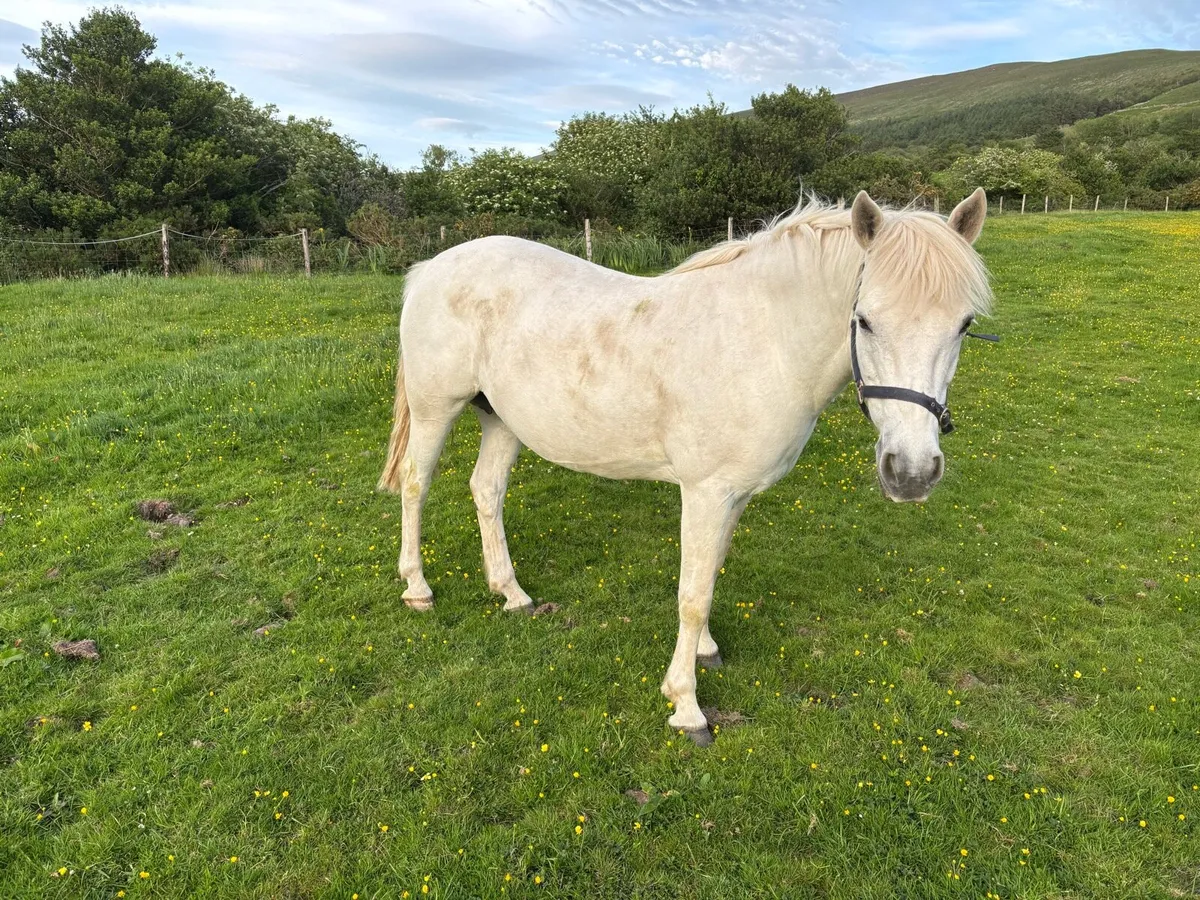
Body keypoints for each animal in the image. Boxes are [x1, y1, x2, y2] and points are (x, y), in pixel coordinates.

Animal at [378, 189, 993, 744]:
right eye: (863, 320)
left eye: (963, 325)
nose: (911, 473)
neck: (763, 340)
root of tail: (432, 268)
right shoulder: (705, 492)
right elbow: (691, 596)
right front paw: (686, 705)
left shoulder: (734, 495)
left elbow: (711, 572)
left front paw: (705, 652)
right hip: (437, 409)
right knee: (415, 485)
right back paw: (417, 588)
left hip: (502, 420)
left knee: (487, 491)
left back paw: (511, 593)